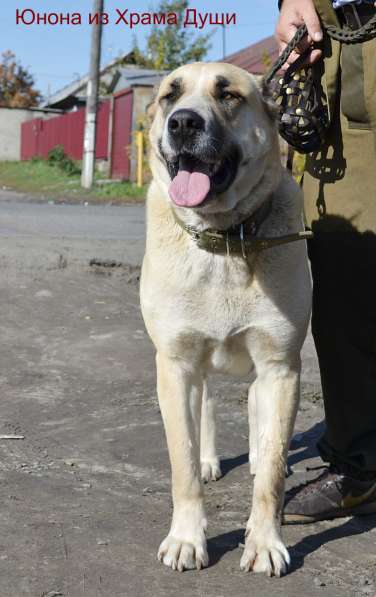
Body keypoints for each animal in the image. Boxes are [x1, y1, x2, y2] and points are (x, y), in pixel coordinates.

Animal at [141, 62, 312, 576]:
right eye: (169, 95)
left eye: (229, 95)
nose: (182, 123)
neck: (226, 239)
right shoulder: (176, 365)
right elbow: (182, 463)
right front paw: (186, 538)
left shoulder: (281, 366)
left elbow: (272, 472)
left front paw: (265, 542)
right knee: (208, 407)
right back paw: (209, 460)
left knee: (258, 416)